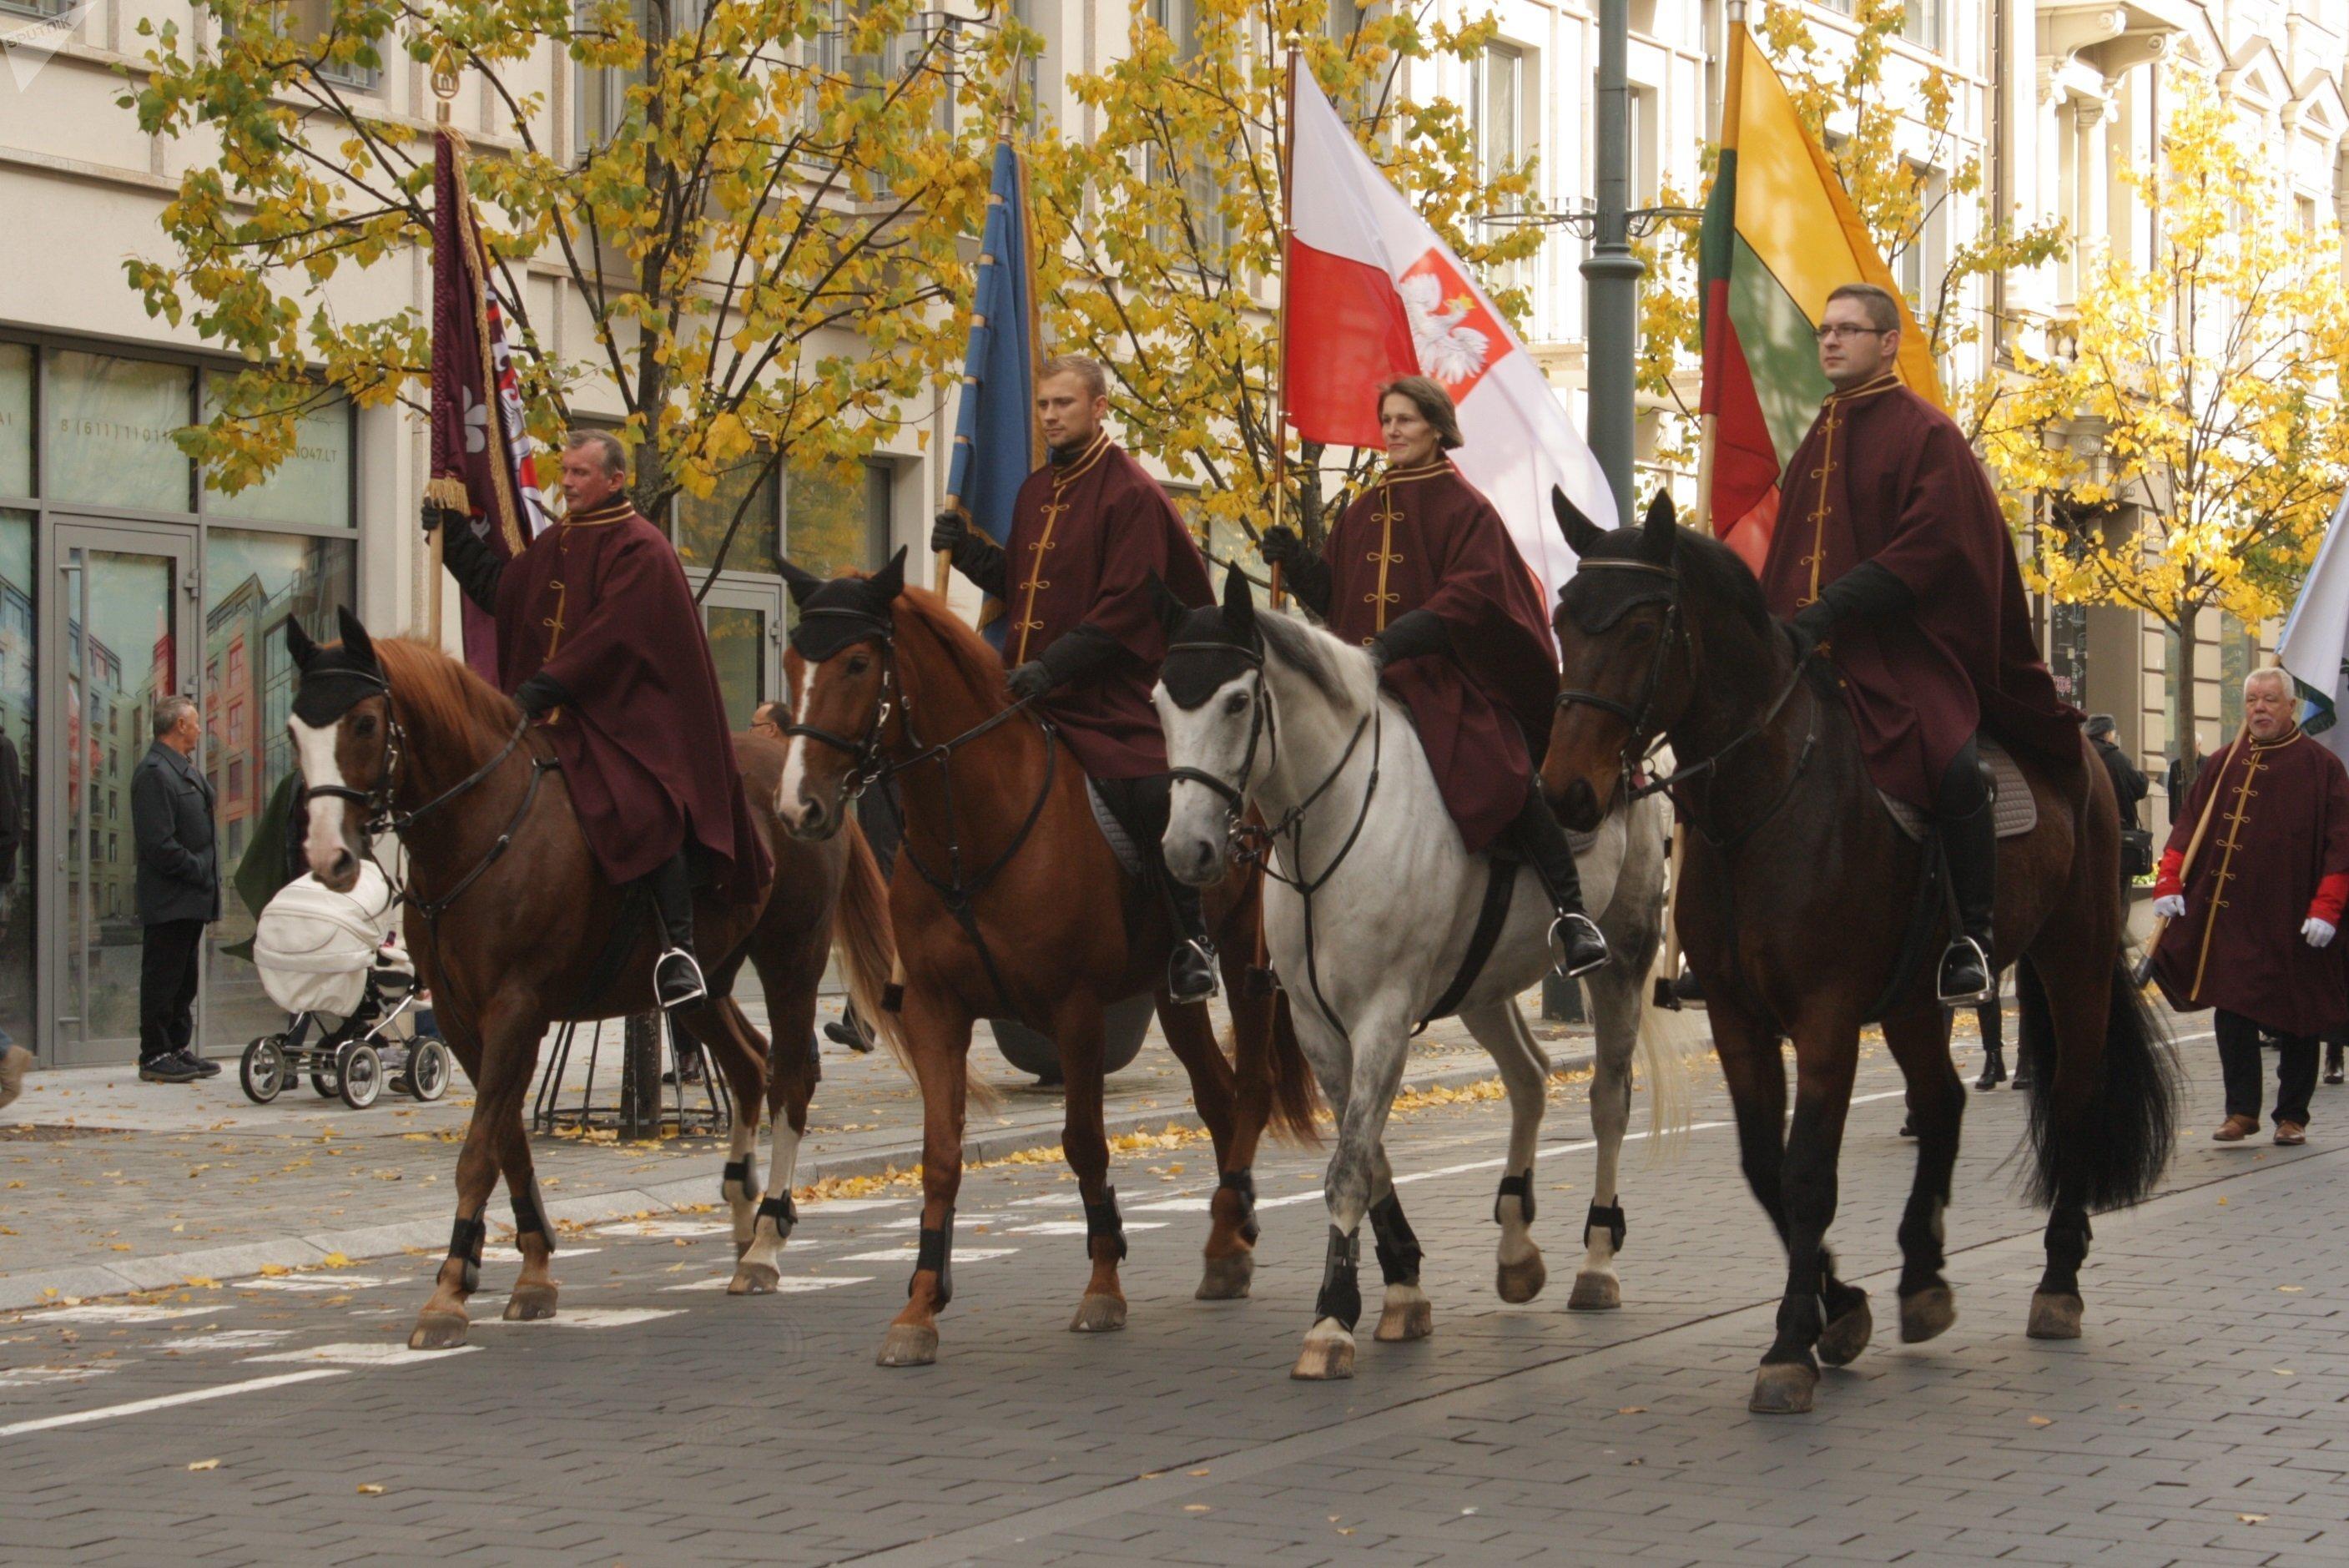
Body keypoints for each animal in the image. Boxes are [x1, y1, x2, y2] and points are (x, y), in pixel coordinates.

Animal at [277, 611, 897, 1354]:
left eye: (366, 723)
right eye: (293, 732)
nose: (328, 858)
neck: (483, 823)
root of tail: (800, 778)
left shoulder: (515, 1008)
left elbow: (480, 1149)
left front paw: (449, 1292)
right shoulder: (461, 1017)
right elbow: (507, 1139)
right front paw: (533, 1271)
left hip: (790, 958)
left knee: (791, 1079)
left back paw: (768, 1242)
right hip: (705, 983)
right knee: (748, 1065)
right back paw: (742, 1224)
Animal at [770, 557, 1324, 1363]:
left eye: (856, 662)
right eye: (791, 663)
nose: (799, 807)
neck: (971, 829)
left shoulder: (1076, 1012)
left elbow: (1084, 1143)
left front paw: (1102, 1283)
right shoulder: (937, 1013)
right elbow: (941, 1155)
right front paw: (919, 1307)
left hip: (1246, 965)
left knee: (1249, 1087)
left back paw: (1232, 1219)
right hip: (1169, 994)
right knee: (1217, 1095)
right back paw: (1227, 1238)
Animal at [1146, 571, 1681, 1382]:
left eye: (1236, 701)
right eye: (1158, 703)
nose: (1187, 851)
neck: (1332, 822)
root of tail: (1628, 766)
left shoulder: (1383, 1017)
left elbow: (1348, 1167)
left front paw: (1331, 1321)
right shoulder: (1319, 1028)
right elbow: (1367, 1157)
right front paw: (1401, 1289)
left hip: (1621, 957)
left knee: (1607, 1101)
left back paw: (1596, 1262)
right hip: (1483, 985)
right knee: (1528, 1079)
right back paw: (1515, 1248)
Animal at [1531, 496, 2170, 1419]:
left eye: (1644, 628)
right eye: (1562, 620)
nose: (1564, 791)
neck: (1759, 803)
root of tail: (2081, 748)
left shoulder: (1825, 1017)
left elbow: (1805, 1172)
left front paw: (1789, 1344)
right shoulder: (1738, 1019)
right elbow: (1764, 1165)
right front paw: (1843, 1307)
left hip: (2072, 954)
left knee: (2075, 1092)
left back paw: (2057, 1277)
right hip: (1911, 998)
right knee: (1941, 1102)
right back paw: (1920, 1277)